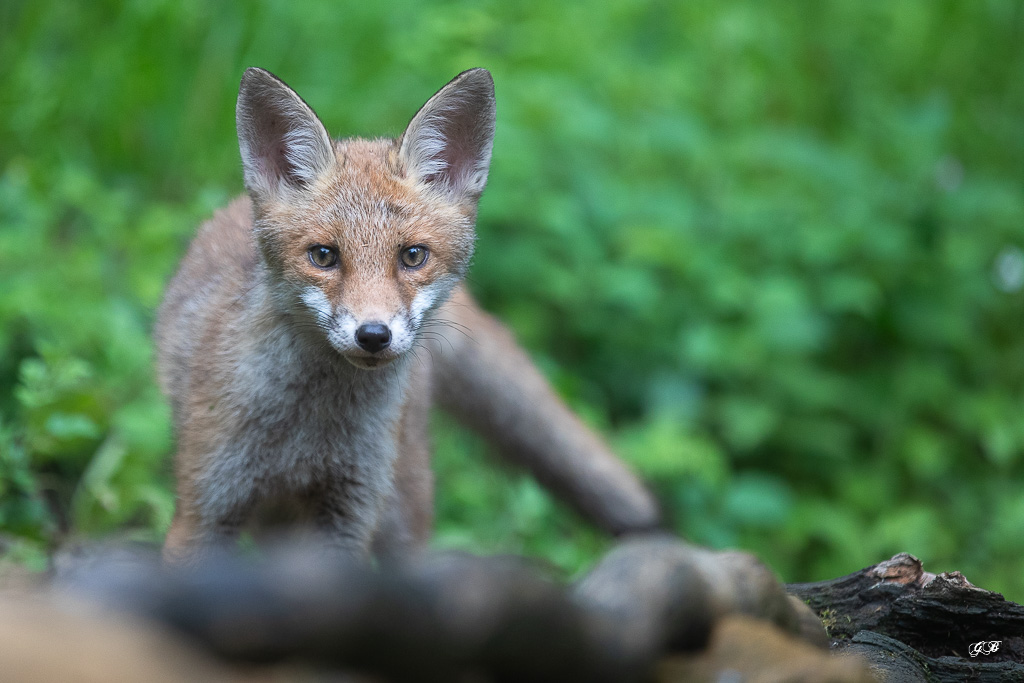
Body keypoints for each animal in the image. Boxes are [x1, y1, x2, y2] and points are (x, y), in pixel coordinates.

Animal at [155, 67, 660, 562]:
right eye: (323, 256)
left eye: (413, 256)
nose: (373, 335)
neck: (309, 433)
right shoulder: (206, 504)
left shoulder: (348, 511)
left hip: (399, 508)